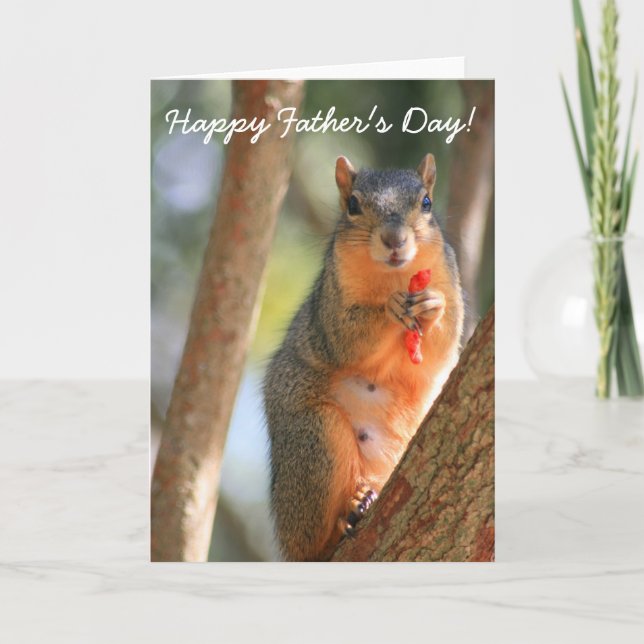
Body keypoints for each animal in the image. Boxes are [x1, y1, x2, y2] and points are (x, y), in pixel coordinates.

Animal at [263, 154, 464, 561]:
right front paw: (388, 309)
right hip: (315, 440)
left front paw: (432, 306)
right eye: (353, 205)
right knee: (313, 540)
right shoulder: (330, 306)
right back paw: (348, 514)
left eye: (426, 203)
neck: (395, 278)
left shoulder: (449, 278)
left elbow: (443, 347)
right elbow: (347, 337)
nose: (394, 239)